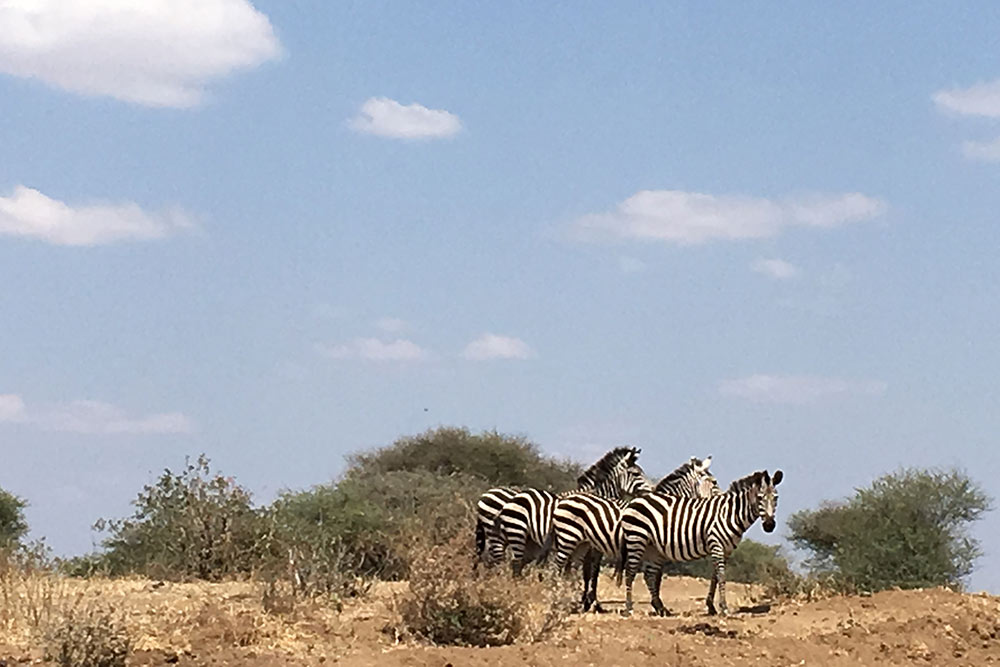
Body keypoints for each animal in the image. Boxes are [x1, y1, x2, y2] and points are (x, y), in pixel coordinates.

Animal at [488, 448, 652, 580]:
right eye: (635, 473)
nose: (651, 491)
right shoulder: (591, 547)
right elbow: (589, 572)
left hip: (526, 540)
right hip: (514, 534)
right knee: (506, 562)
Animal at [548, 456, 720, 612]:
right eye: (714, 482)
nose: (720, 499)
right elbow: (655, 577)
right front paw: (658, 605)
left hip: (580, 543)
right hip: (572, 539)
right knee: (563, 567)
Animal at [612, 470, 784, 616]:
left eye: (776, 498)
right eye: (760, 497)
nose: (769, 525)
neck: (730, 514)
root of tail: (635, 501)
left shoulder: (726, 550)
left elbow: (715, 577)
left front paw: (711, 606)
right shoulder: (716, 544)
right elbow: (722, 576)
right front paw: (724, 608)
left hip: (652, 547)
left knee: (649, 575)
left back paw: (661, 609)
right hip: (637, 539)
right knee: (630, 573)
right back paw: (629, 608)